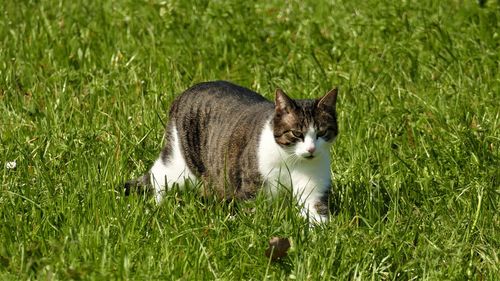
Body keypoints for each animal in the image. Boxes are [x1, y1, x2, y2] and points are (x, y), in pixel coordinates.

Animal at [124, 80, 340, 223]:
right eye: (297, 133)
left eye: (322, 133)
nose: (311, 149)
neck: (293, 161)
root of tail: (184, 93)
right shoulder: (253, 190)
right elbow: (254, 214)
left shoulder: (312, 189)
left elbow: (315, 213)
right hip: (179, 162)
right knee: (160, 174)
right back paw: (158, 205)